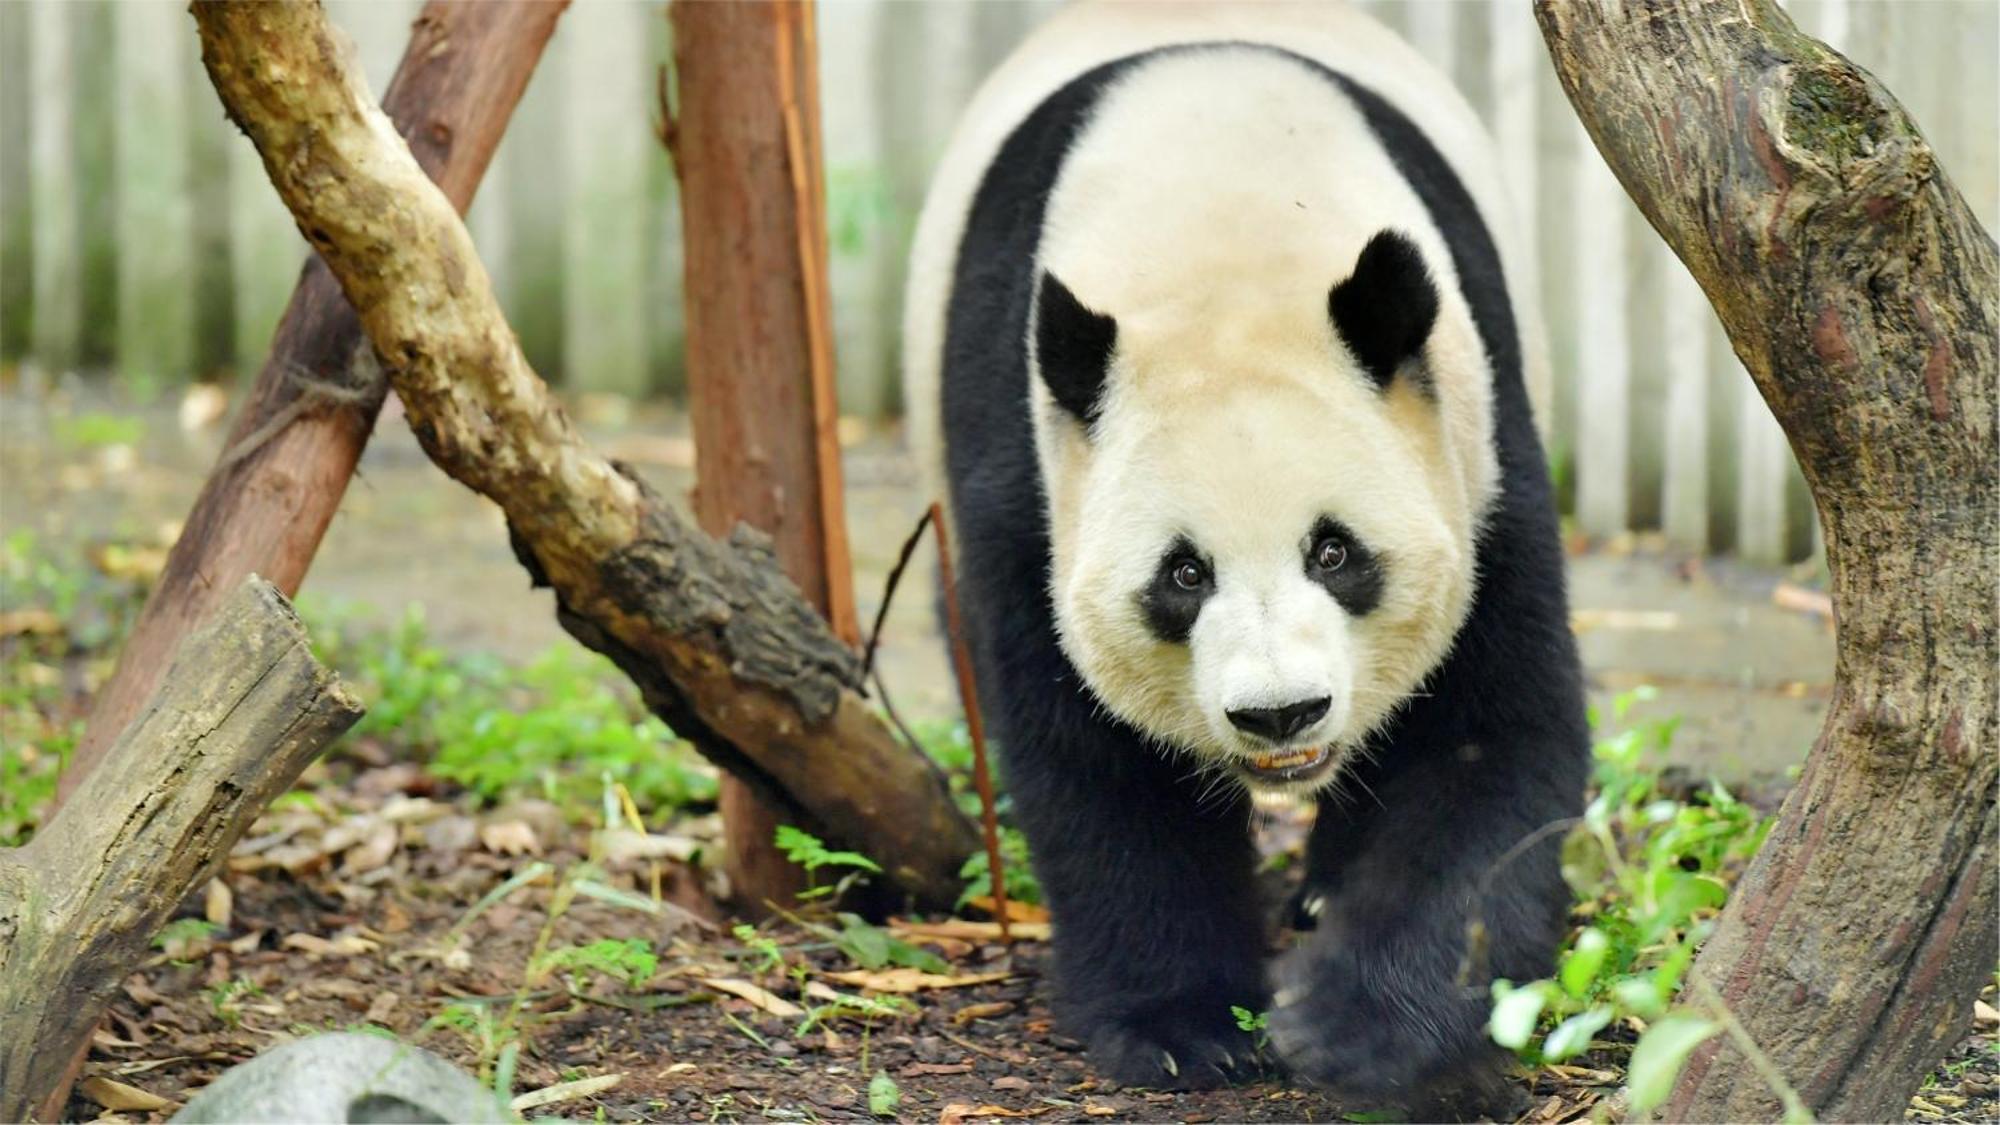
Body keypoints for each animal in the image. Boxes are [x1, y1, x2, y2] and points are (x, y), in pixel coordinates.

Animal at [900, 0, 1584, 1096]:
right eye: (1183, 574)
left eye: (1334, 554)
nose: (1280, 713)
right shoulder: (1026, 455)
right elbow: (1094, 758)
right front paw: (1186, 1024)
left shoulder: (1473, 445)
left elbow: (1485, 735)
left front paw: (1358, 1025)